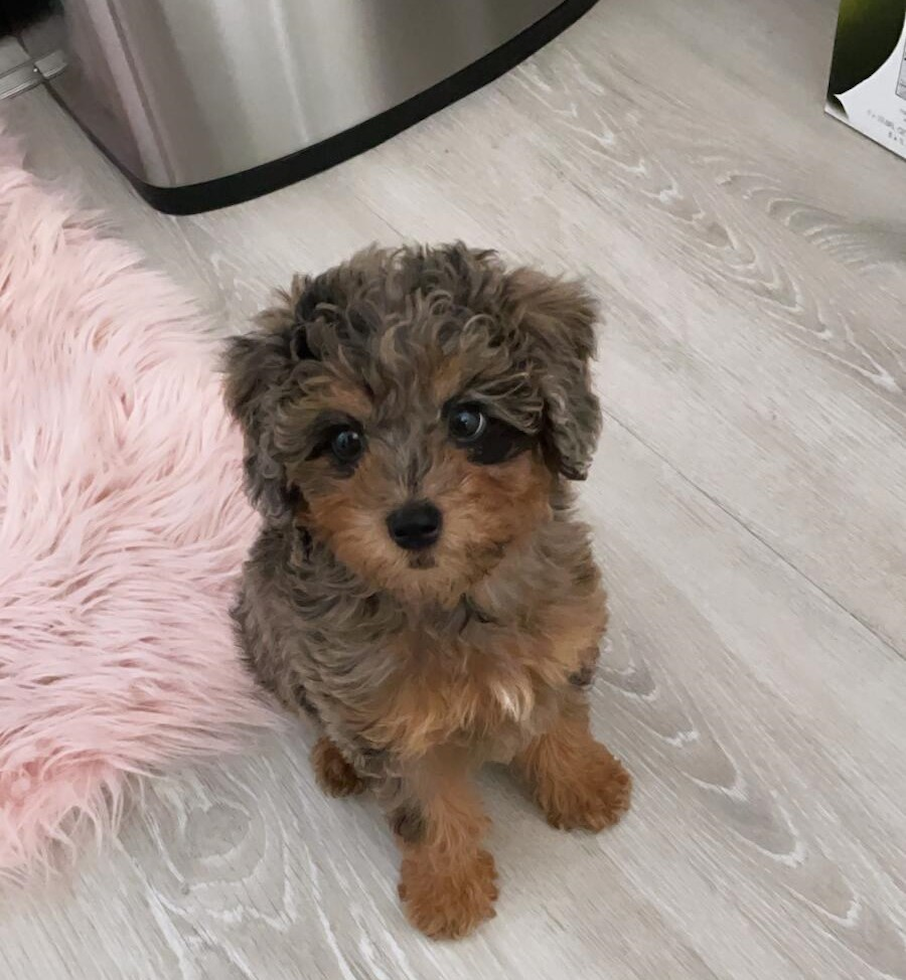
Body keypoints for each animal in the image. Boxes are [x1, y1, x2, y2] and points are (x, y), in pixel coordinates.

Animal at [224, 241, 628, 936]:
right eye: (344, 439)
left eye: (467, 419)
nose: (413, 523)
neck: (455, 600)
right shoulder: (388, 722)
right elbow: (427, 810)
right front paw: (448, 891)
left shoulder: (562, 646)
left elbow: (561, 725)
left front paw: (584, 786)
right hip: (269, 630)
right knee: (312, 708)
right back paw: (337, 759)